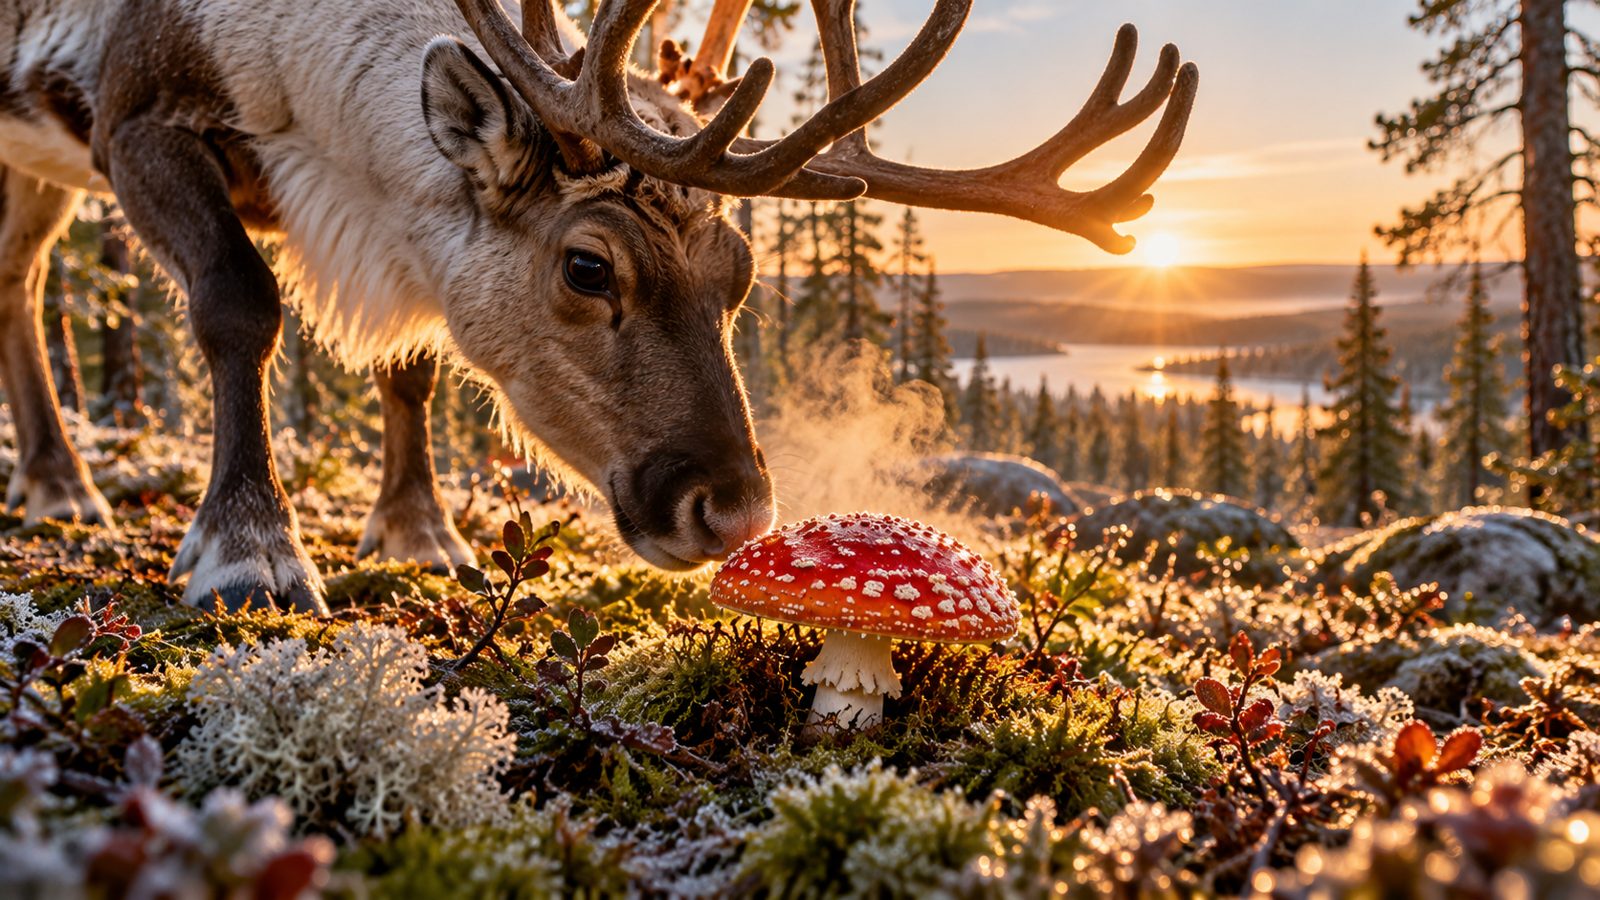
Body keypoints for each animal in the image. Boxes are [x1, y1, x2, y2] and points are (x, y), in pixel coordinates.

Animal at [0, 0, 1197, 614]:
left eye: (741, 271)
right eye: (586, 267)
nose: (732, 511)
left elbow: (415, 362)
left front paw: (421, 531)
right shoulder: (135, 117)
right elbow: (239, 308)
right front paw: (251, 550)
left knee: (18, 276)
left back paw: (56, 481)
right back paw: (65, 483)